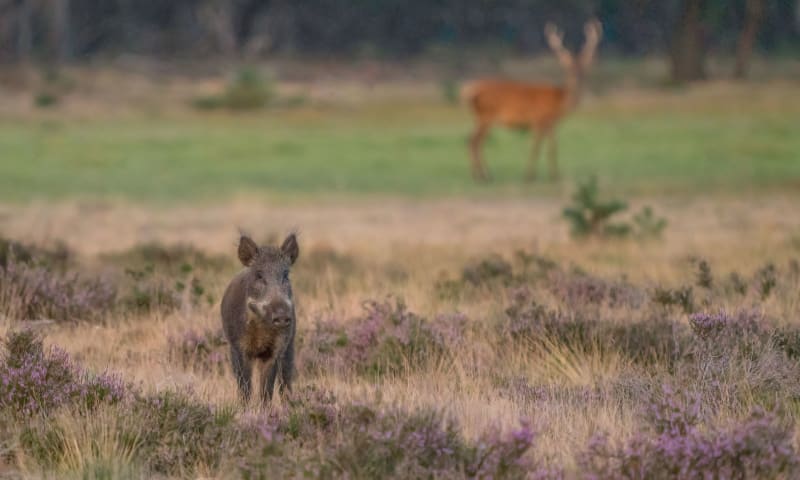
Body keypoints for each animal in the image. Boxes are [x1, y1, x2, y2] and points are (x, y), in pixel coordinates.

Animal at [460, 19, 604, 183]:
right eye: (568, 67)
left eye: (583, 68)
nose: (577, 78)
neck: (559, 101)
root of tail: (468, 90)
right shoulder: (538, 120)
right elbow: (535, 148)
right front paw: (529, 176)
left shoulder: (551, 125)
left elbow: (552, 148)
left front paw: (555, 176)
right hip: (485, 115)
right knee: (474, 142)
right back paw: (483, 176)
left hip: (480, 117)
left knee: (473, 141)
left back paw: (482, 175)